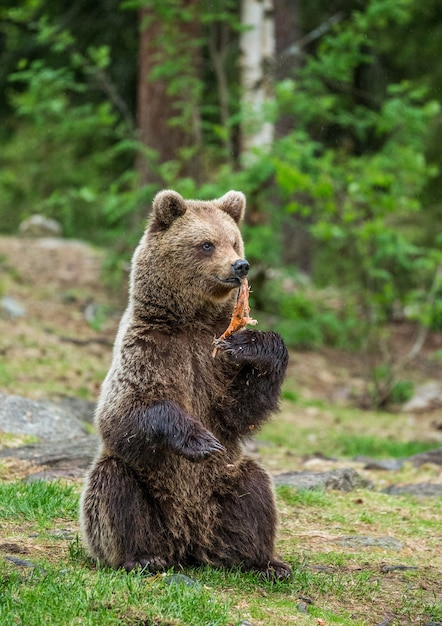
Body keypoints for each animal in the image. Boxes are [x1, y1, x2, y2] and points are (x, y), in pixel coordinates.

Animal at [79, 188, 292, 576]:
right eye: (206, 244)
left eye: (234, 241)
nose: (240, 266)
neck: (191, 321)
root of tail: (187, 543)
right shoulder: (148, 348)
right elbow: (123, 412)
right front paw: (199, 439)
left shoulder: (213, 361)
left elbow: (237, 412)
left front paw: (254, 345)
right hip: (145, 495)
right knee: (115, 487)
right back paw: (142, 557)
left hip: (222, 485)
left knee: (254, 489)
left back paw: (263, 562)